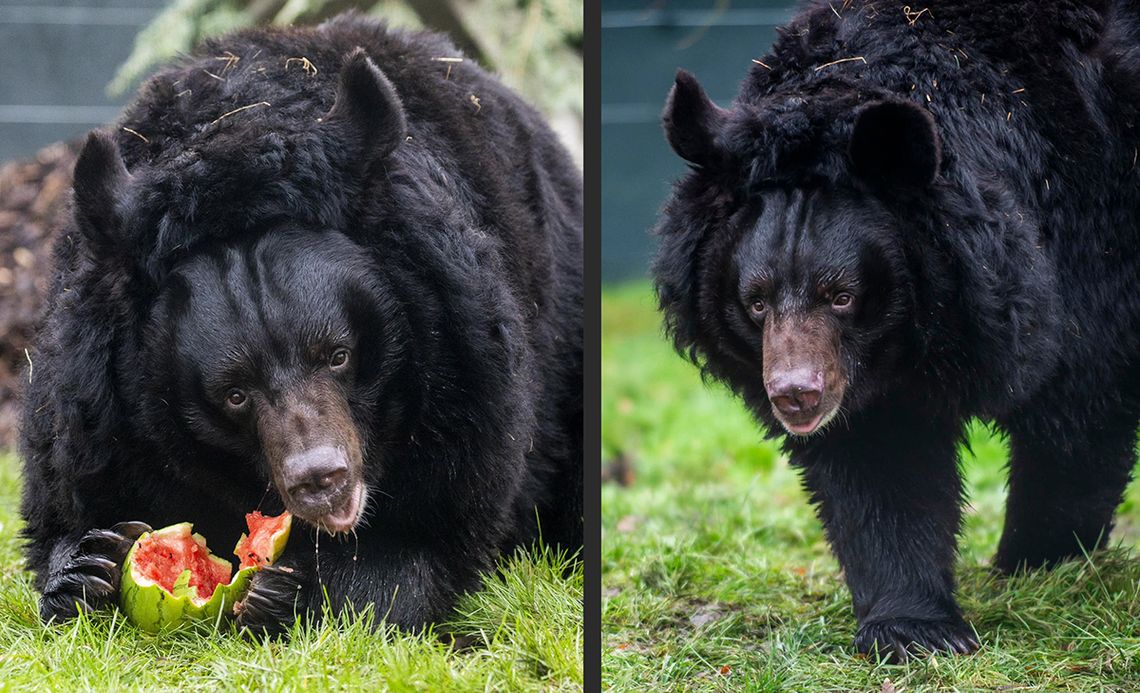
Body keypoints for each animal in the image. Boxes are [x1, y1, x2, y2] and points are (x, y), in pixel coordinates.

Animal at [22, 13, 583, 638]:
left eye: (337, 355)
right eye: (234, 394)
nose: (321, 481)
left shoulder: (464, 371)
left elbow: (436, 539)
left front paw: (293, 590)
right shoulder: (92, 406)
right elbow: (69, 499)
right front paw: (86, 567)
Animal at [652, 0, 1140, 661]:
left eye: (842, 296)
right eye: (755, 303)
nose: (795, 397)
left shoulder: (1094, 246)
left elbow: (1080, 410)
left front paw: (1035, 564)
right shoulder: (872, 373)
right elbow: (881, 463)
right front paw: (915, 629)